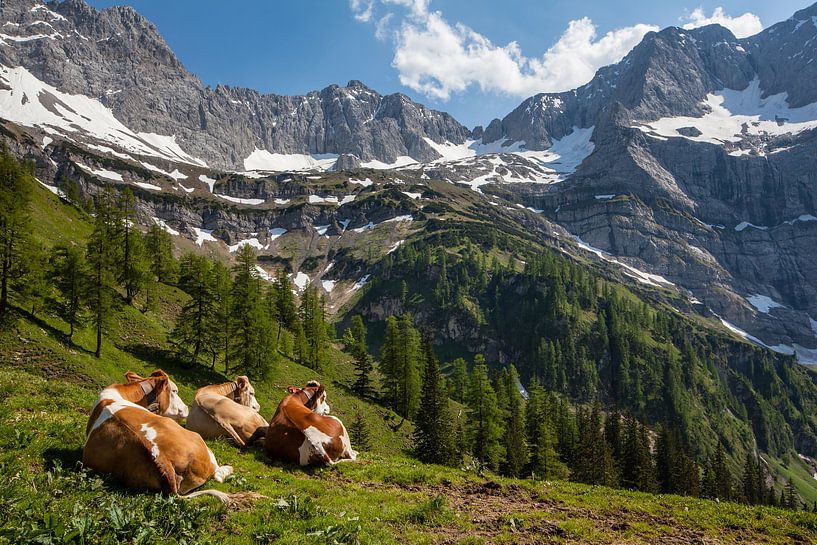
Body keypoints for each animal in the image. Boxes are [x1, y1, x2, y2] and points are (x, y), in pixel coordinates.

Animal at [83, 370, 236, 502]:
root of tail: (162, 460)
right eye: (174, 391)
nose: (186, 407)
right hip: (200, 442)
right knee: (217, 474)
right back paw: (228, 468)